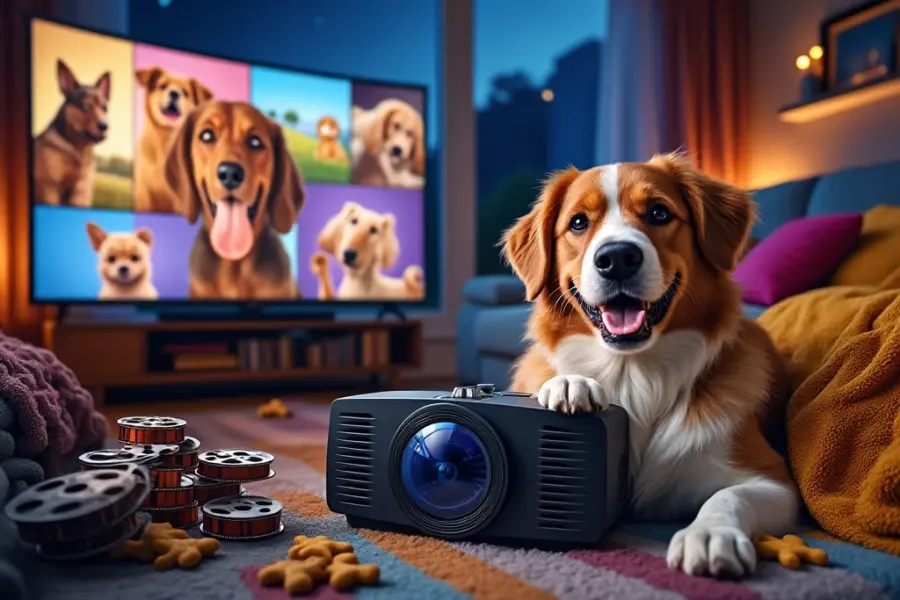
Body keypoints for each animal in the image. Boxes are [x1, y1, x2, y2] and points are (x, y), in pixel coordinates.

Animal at [502, 152, 800, 580]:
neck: (634, 372)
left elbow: (728, 495)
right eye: (578, 222)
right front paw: (570, 384)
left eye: (659, 212)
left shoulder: (774, 479)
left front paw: (709, 534)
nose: (616, 259)